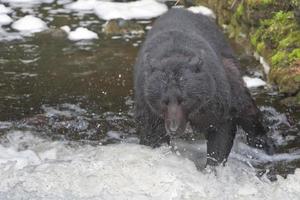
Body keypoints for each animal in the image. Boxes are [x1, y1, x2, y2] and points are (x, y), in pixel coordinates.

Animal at [134, 8, 272, 166]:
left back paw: (263, 143)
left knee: (246, 108)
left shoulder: (214, 101)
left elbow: (221, 130)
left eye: (184, 100)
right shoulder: (149, 107)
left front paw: (213, 165)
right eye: (164, 101)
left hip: (231, 71)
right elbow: (152, 135)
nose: (173, 129)